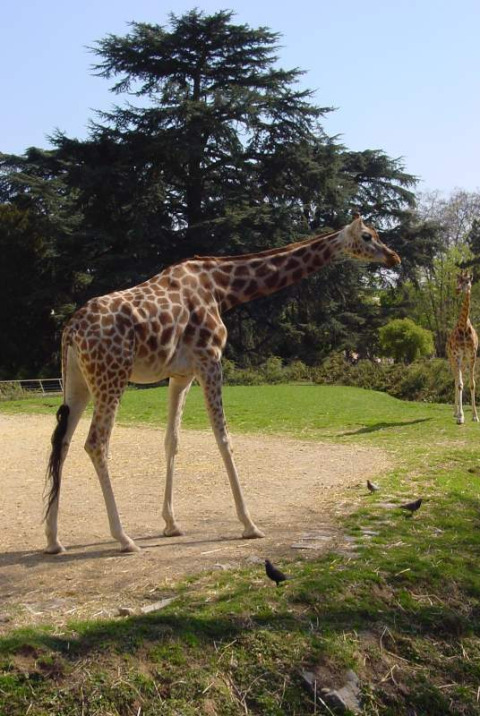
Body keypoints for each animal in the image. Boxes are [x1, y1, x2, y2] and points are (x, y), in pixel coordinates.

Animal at [45, 214, 401, 554]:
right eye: (368, 236)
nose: (393, 256)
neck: (222, 288)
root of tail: (71, 330)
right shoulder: (210, 360)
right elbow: (224, 438)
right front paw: (249, 524)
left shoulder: (181, 375)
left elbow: (172, 441)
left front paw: (171, 524)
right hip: (112, 376)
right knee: (96, 443)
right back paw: (124, 538)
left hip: (78, 382)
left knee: (61, 442)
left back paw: (53, 540)